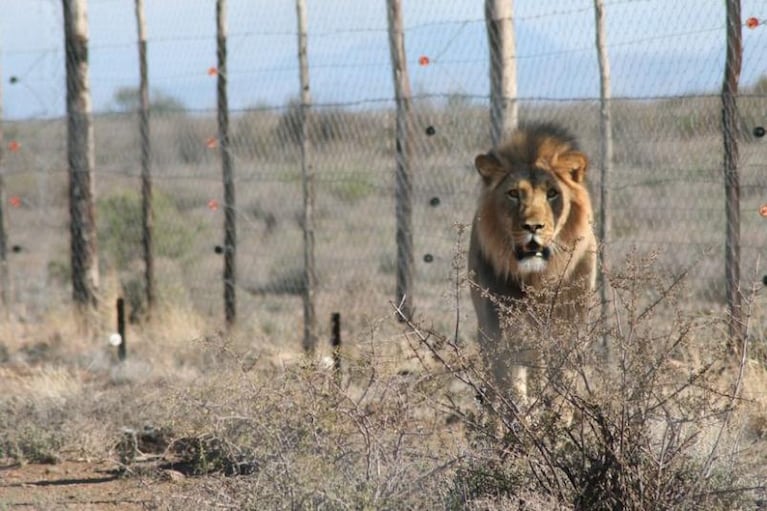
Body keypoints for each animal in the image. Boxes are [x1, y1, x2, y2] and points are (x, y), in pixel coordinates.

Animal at [468, 123, 600, 404]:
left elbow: (563, 385)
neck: (538, 278)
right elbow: (513, 391)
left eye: (552, 194)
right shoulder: (504, 333)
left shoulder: (569, 329)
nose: (532, 226)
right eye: (513, 194)